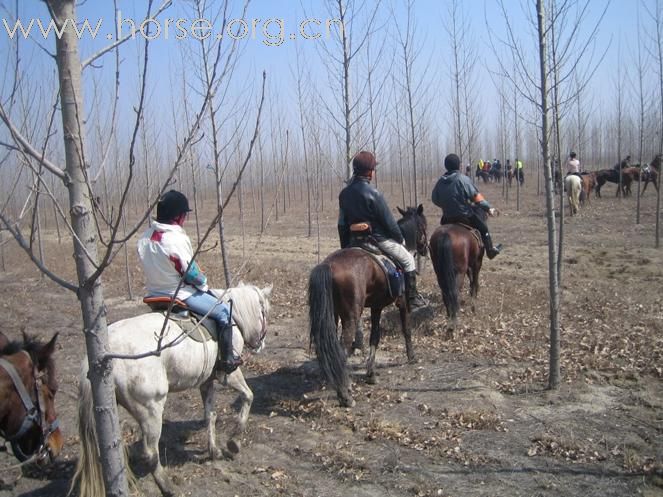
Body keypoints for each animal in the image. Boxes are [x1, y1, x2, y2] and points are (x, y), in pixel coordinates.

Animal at [71, 282, 272, 496]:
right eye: (265, 312)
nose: (261, 344)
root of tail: (101, 356)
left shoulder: (206, 382)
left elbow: (210, 416)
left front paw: (214, 450)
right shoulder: (229, 374)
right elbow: (248, 396)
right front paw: (233, 442)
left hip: (108, 409)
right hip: (151, 410)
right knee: (151, 453)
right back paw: (168, 487)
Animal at [308, 203, 428, 404]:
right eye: (423, 226)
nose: (426, 248)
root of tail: (329, 266)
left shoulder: (376, 307)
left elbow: (375, 336)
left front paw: (370, 373)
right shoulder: (403, 303)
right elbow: (406, 329)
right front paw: (412, 357)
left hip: (332, 314)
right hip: (350, 316)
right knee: (343, 347)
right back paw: (345, 394)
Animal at [428, 207, 490, 336]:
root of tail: (445, 235)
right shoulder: (477, 263)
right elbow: (475, 280)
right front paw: (474, 302)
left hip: (440, 272)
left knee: (445, 292)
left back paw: (450, 316)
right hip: (459, 272)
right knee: (455, 292)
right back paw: (454, 321)